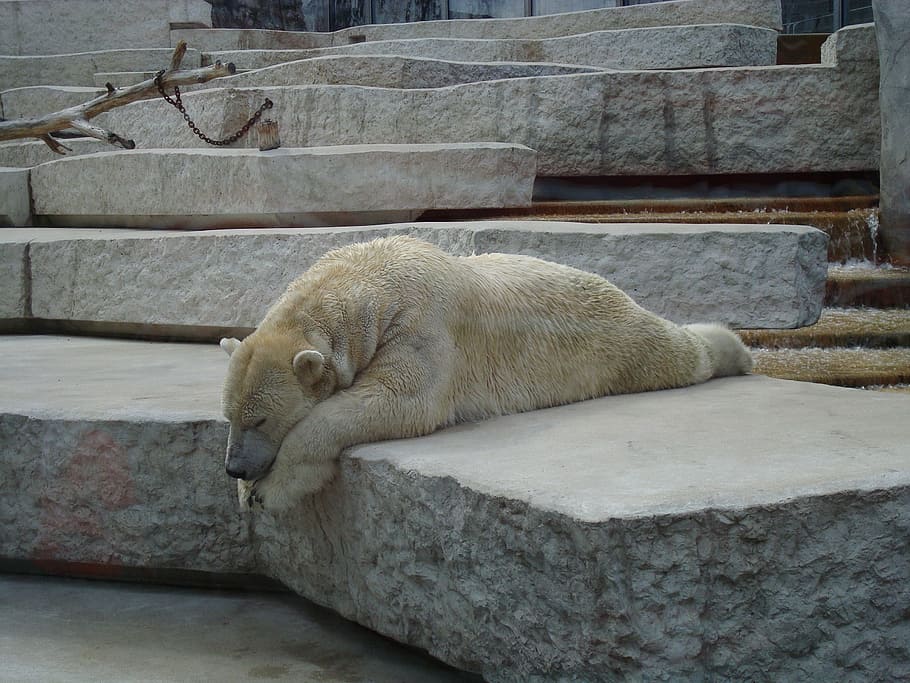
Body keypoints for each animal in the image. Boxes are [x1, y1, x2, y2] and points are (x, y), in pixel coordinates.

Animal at [220, 235, 752, 511]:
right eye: (230, 416)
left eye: (261, 418)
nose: (234, 468)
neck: (364, 276)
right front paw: (249, 488)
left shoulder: (421, 323)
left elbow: (399, 398)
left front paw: (270, 489)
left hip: (612, 340)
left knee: (670, 354)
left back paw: (734, 351)